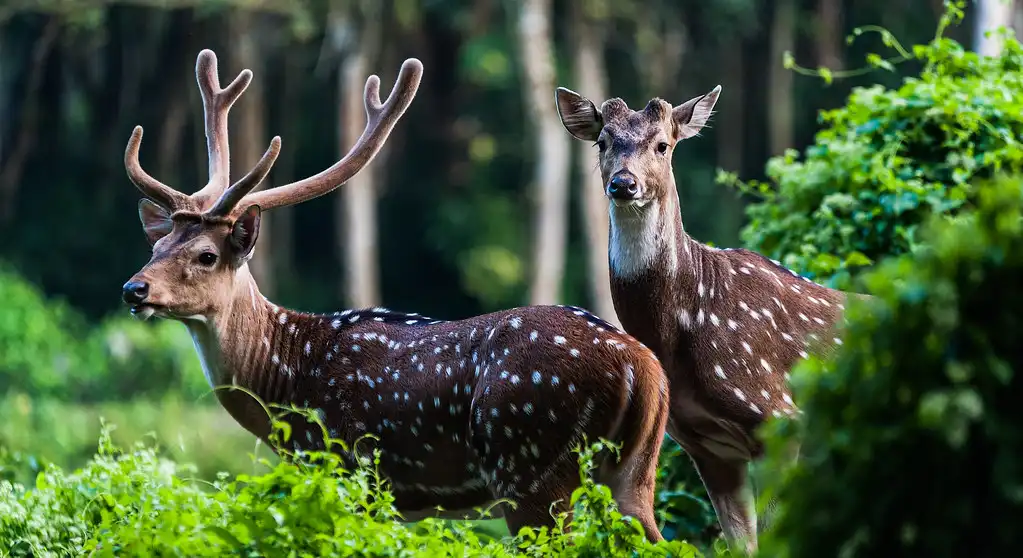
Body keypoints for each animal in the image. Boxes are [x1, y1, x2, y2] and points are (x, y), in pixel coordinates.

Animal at [117, 51, 671, 540]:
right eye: (157, 245)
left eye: (207, 255)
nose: (133, 288)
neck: (286, 380)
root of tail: (643, 369)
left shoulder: (351, 472)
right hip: (635, 474)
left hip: (529, 465)